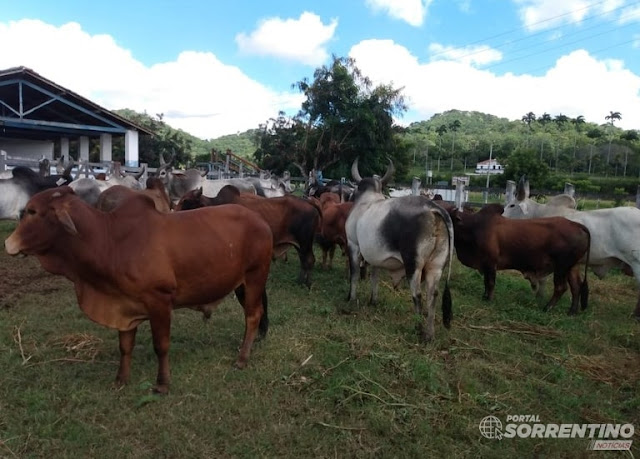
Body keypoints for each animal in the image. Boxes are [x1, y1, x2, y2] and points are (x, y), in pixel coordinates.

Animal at [5, 185, 276, 394]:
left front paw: (162, 384)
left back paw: (242, 359)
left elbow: (161, 345)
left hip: (255, 276)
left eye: (32, 212)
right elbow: (125, 347)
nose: (8, 243)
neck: (109, 241)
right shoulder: (123, 305)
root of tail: (261, 220)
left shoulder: (160, 301)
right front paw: (120, 380)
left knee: (253, 316)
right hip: (241, 284)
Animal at [175, 186, 322, 288]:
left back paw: (307, 284)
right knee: (304, 261)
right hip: (300, 244)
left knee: (309, 260)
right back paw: (300, 281)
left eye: (185, 200)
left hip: (305, 242)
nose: (173, 213)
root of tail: (309, 203)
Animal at [344, 158, 456, 342]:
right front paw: (373, 300)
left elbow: (354, 275)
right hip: (436, 266)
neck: (368, 200)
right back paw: (429, 334)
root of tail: (433, 209)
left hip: (413, 264)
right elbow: (374, 277)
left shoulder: (353, 244)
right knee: (432, 295)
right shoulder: (376, 257)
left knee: (417, 294)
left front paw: (352, 299)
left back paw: (418, 329)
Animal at [450, 205, 592, 316]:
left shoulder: (491, 263)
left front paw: (489, 299)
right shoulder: (486, 265)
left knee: (561, 287)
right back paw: (572, 312)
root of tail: (577, 225)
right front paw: (484, 297)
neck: (473, 226)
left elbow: (490, 283)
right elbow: (486, 282)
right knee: (576, 287)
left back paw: (547, 308)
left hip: (561, 267)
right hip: (572, 267)